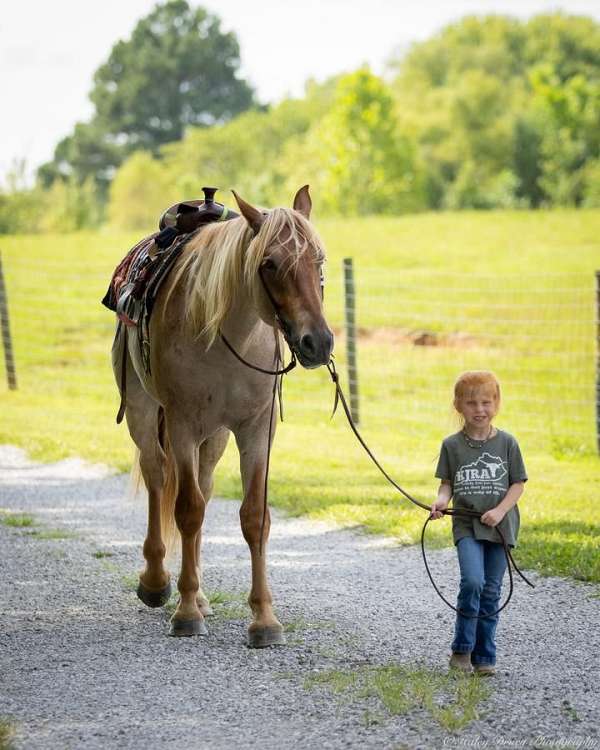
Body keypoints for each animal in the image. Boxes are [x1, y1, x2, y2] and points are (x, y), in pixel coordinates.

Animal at [111, 187, 332, 648]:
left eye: (317, 260)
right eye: (269, 264)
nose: (318, 342)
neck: (229, 336)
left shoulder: (256, 431)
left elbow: (254, 517)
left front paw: (264, 619)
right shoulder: (181, 426)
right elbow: (187, 510)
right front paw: (184, 612)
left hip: (213, 438)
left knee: (204, 487)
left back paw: (198, 593)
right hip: (144, 414)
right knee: (158, 478)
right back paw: (158, 583)